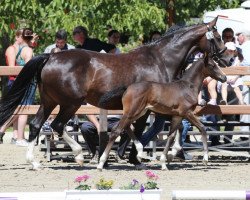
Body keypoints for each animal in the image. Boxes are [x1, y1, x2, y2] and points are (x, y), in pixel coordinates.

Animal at [97, 55, 227, 170]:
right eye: (212, 65)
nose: (224, 78)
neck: (188, 87)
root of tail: (127, 88)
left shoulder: (177, 116)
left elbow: (171, 136)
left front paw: (165, 162)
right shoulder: (187, 112)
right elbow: (202, 128)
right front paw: (205, 159)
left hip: (139, 112)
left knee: (127, 127)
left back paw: (139, 149)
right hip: (132, 112)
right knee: (116, 130)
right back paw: (101, 163)